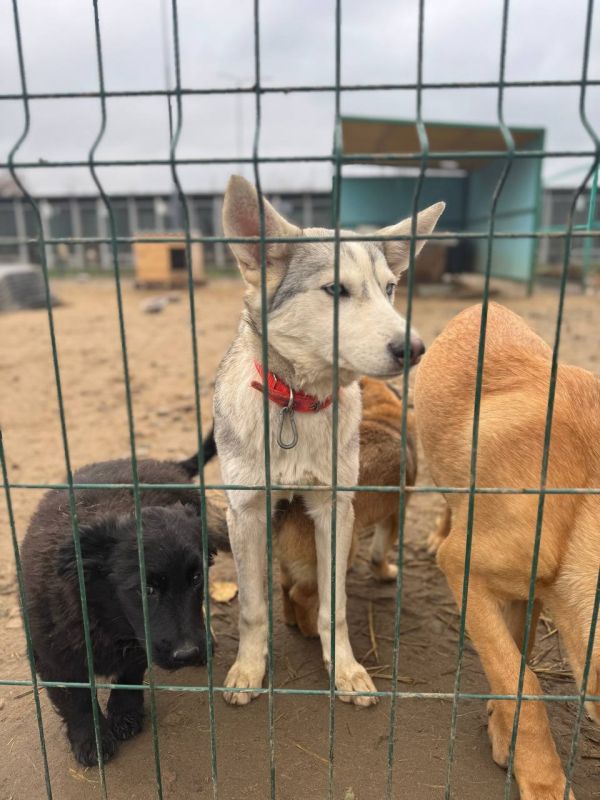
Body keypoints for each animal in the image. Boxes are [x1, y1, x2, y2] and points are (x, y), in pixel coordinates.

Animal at [22, 454, 225, 764]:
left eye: (196, 578)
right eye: (145, 589)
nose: (188, 653)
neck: (105, 619)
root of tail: (161, 463)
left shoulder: (140, 640)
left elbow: (130, 673)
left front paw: (124, 712)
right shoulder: (53, 657)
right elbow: (77, 699)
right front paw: (92, 739)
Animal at [276, 376, 418, 636]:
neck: (383, 417)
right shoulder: (394, 516)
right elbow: (378, 553)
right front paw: (385, 573)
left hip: (292, 564)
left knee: (285, 588)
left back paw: (292, 622)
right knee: (300, 596)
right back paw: (312, 631)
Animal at [414, 300, 596, 800]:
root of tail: (486, 303)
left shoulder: (533, 590)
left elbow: (518, 656)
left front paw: (501, 726)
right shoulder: (463, 568)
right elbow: (522, 682)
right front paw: (544, 779)